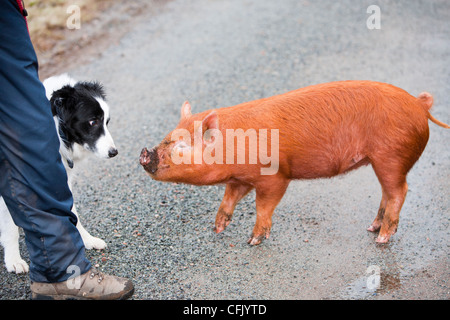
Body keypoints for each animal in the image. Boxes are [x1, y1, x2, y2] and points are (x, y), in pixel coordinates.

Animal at [0, 74, 118, 272]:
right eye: (93, 121)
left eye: (107, 122)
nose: (114, 152)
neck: (57, 131)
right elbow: (9, 227)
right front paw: (13, 260)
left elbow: (70, 211)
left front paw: (87, 240)